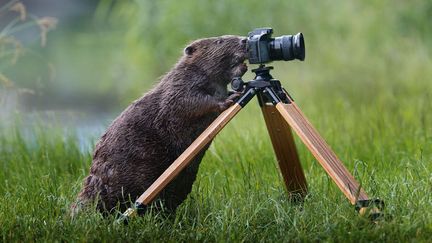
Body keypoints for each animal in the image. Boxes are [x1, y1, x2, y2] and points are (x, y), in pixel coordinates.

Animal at [72, 34, 248, 215]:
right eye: (219, 41)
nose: (244, 40)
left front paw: (239, 79)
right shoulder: (179, 87)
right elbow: (190, 101)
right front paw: (228, 99)